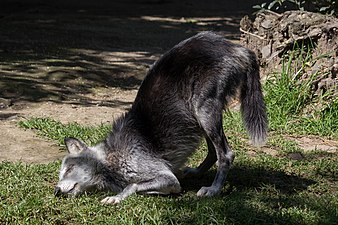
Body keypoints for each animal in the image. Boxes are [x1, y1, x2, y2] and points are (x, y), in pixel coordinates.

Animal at [54, 31, 268, 204]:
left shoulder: (166, 177)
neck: (111, 157)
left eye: (69, 169)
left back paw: (213, 189)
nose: (56, 191)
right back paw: (195, 173)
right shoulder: (170, 183)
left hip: (204, 112)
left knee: (226, 154)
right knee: (213, 152)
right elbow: (144, 188)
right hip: (200, 118)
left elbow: (132, 185)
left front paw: (116, 197)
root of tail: (237, 48)